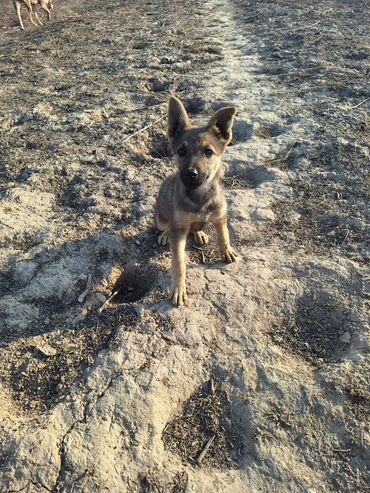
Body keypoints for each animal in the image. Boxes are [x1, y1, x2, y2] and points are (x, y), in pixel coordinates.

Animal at [155, 94, 237, 306]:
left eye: (208, 152)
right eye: (181, 151)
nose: (190, 174)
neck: (200, 196)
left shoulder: (220, 216)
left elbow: (224, 236)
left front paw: (227, 251)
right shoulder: (180, 230)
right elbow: (179, 264)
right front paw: (178, 289)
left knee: (197, 227)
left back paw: (199, 233)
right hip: (161, 219)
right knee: (167, 226)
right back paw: (166, 234)